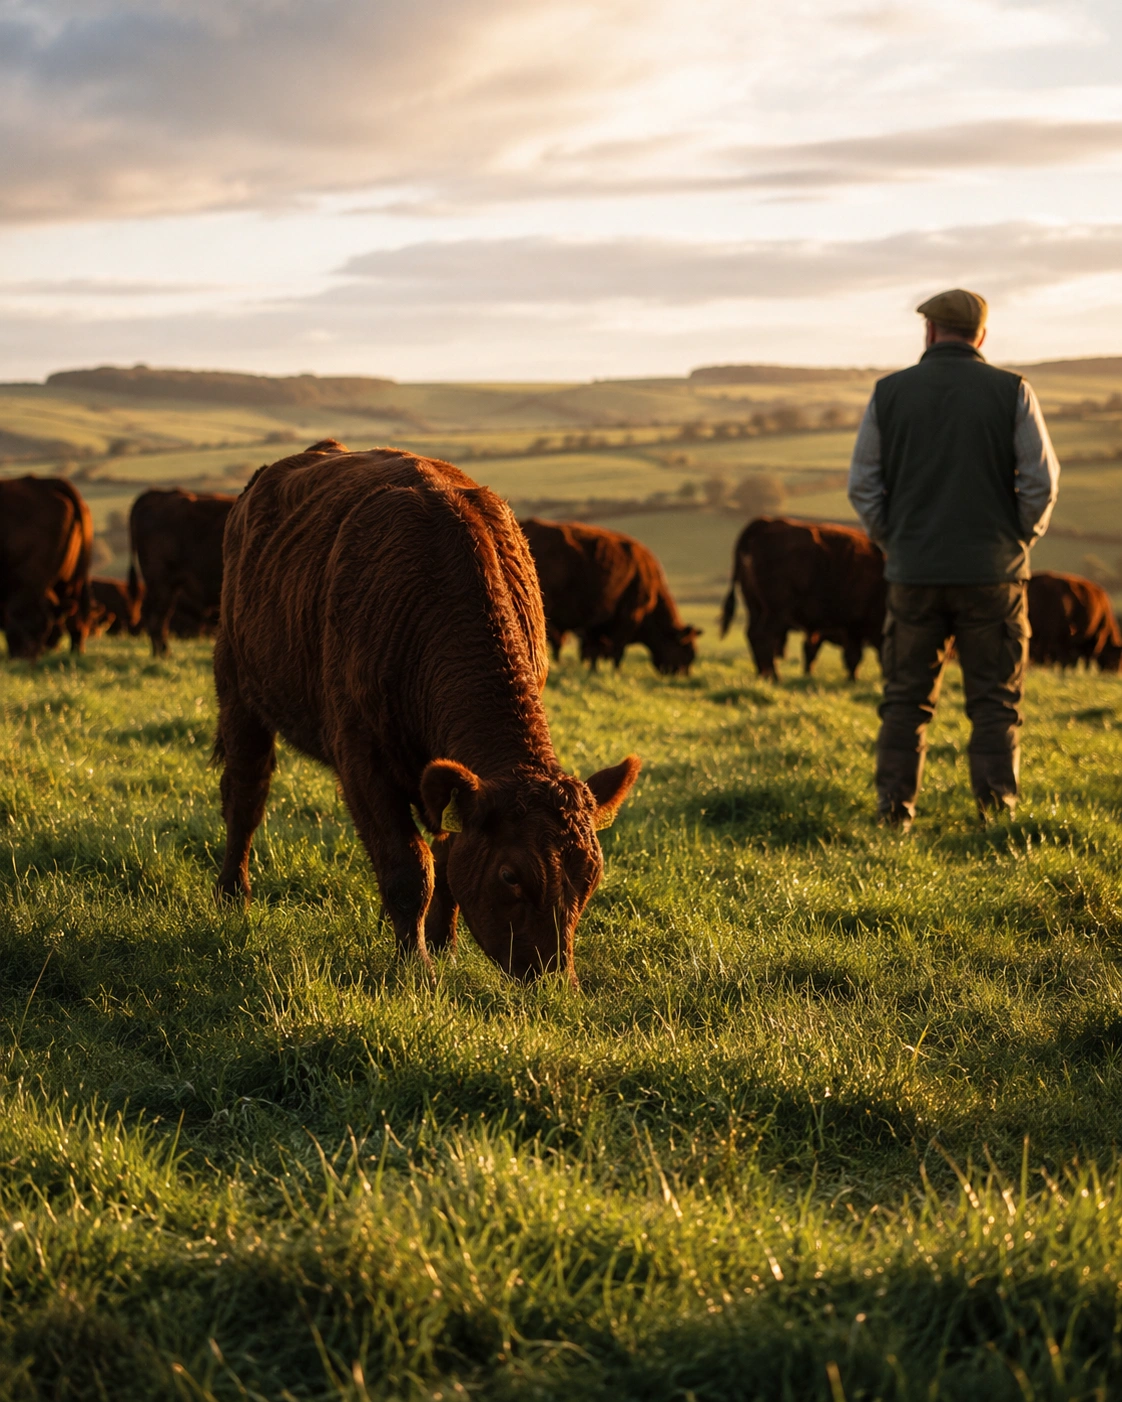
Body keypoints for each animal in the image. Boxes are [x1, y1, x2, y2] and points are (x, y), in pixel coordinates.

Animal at [214, 441, 640, 983]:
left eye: (591, 877)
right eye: (510, 875)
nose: (551, 979)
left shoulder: (447, 777)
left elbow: (447, 857)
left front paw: (442, 944)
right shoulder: (362, 758)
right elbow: (409, 869)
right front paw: (415, 966)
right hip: (237, 686)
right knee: (245, 795)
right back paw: (232, 896)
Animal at [520, 518, 700, 675]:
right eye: (687, 650)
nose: (684, 674)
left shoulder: (594, 624)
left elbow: (594, 649)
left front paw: (593, 670)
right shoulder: (627, 619)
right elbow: (616, 650)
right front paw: (616, 672)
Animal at [719, 516, 886, 681]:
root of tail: (765, 523)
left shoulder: (853, 627)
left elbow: (853, 655)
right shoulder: (865, 624)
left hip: (755, 606)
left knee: (753, 634)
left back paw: (762, 673)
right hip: (776, 610)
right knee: (765, 635)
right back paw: (775, 676)